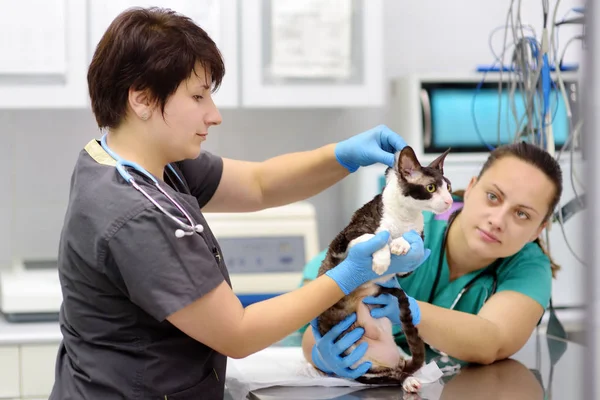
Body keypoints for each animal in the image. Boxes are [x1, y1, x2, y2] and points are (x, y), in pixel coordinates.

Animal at [314, 145, 450, 392]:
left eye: (449, 187)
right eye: (431, 188)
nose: (449, 201)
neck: (405, 217)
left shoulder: (412, 254)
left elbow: (411, 241)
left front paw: (400, 244)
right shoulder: (342, 242)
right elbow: (376, 237)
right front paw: (382, 258)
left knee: (399, 368)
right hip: (356, 363)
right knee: (385, 374)